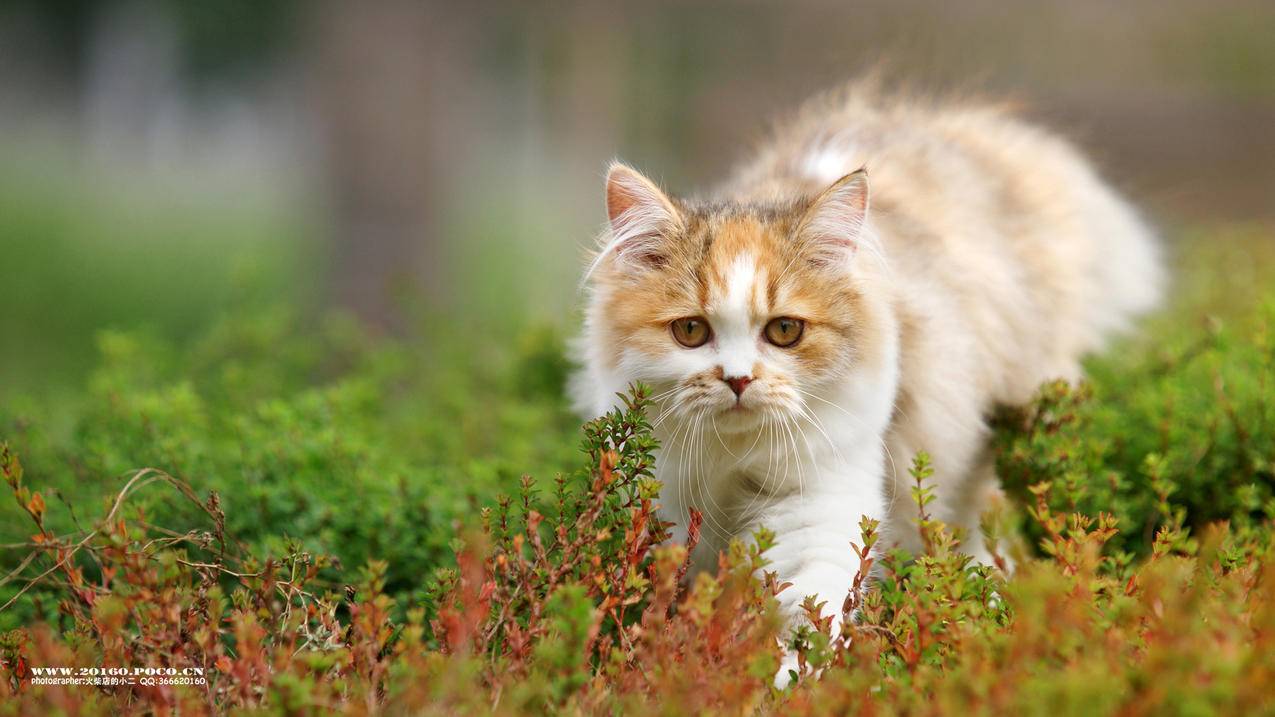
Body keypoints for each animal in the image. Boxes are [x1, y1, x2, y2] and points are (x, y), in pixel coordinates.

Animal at [568, 81, 1167, 678]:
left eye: (785, 330)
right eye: (691, 331)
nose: (738, 380)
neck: (734, 463)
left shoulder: (825, 511)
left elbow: (807, 626)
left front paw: (780, 685)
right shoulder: (676, 518)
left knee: (988, 530)